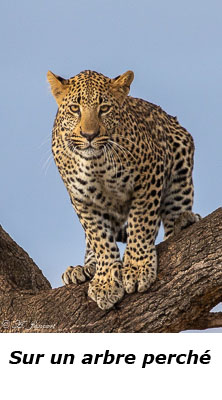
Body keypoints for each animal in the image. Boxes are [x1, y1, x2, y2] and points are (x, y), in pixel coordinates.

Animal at [46, 70, 199, 310]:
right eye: (74, 108)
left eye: (104, 108)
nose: (89, 135)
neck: (96, 163)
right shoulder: (82, 199)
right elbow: (99, 238)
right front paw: (106, 281)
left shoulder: (149, 174)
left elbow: (141, 223)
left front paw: (137, 268)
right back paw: (82, 269)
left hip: (181, 157)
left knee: (175, 209)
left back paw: (184, 221)